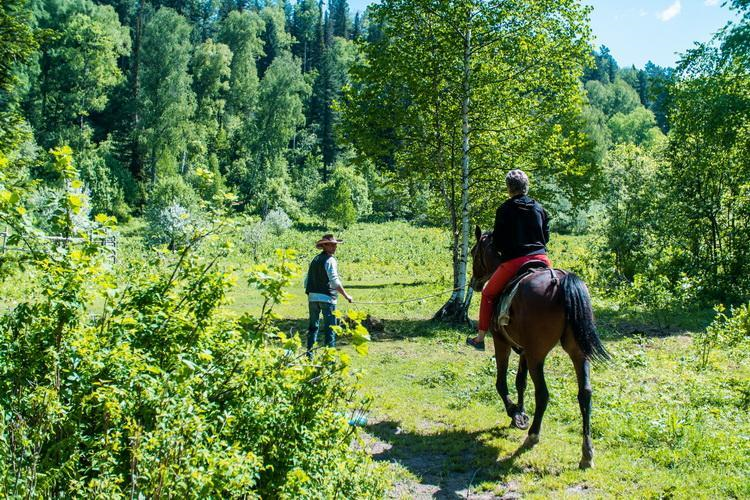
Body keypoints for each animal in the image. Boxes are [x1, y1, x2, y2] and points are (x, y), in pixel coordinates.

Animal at [470, 227, 612, 468]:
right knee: (585, 393)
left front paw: (514, 413)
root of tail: (560, 282)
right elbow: (520, 382)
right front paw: (519, 412)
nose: (474, 284)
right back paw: (587, 453)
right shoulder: (524, 350)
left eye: (473, 252)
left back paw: (533, 436)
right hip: (577, 352)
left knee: (543, 393)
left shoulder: (503, 342)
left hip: (538, 355)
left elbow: (502, 382)